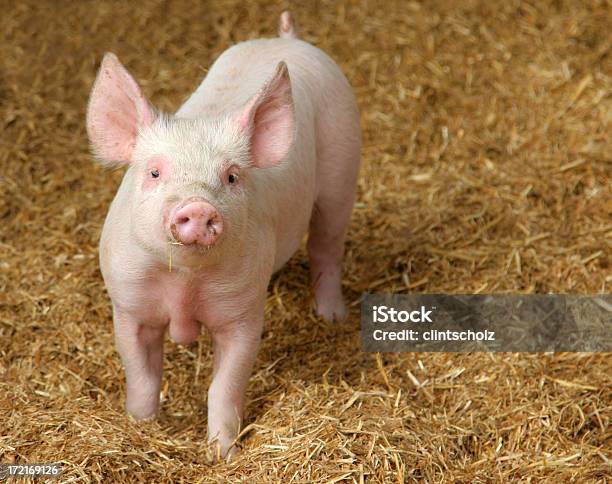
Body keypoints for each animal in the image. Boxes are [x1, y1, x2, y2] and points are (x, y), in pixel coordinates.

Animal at [85, 11, 358, 458]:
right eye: (155, 172)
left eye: (231, 176)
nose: (198, 206)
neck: (184, 283)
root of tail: (286, 39)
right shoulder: (129, 306)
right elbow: (142, 378)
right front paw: (141, 428)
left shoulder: (241, 314)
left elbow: (224, 387)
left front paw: (222, 453)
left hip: (343, 173)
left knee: (327, 248)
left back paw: (331, 316)